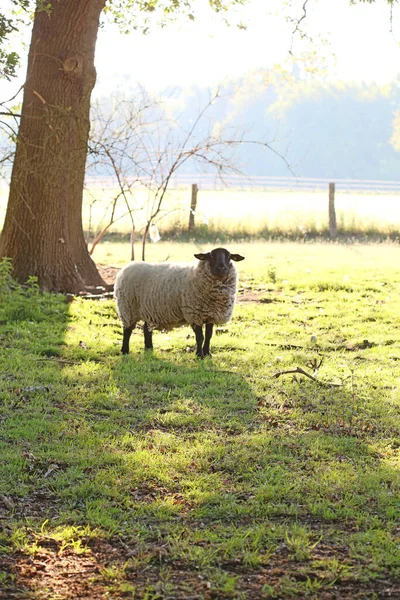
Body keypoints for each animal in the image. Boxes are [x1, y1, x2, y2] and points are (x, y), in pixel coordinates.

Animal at [114, 247, 245, 356]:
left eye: (229, 257)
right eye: (211, 256)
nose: (221, 268)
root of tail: (126, 268)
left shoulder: (211, 315)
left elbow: (208, 336)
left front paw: (207, 353)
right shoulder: (194, 313)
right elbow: (200, 337)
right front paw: (200, 355)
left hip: (149, 309)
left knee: (146, 329)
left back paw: (149, 349)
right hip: (128, 308)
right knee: (127, 330)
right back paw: (125, 351)